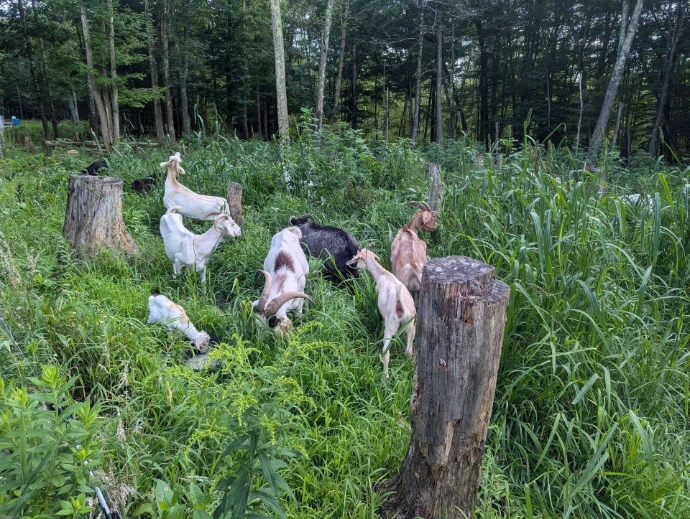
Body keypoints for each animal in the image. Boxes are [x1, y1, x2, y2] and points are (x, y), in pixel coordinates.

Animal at [346, 248, 416, 379]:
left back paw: (385, 376)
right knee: (409, 351)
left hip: (390, 327)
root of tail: (400, 306)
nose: (356, 269)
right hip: (410, 325)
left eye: (358, 259)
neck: (384, 274)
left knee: (385, 352)